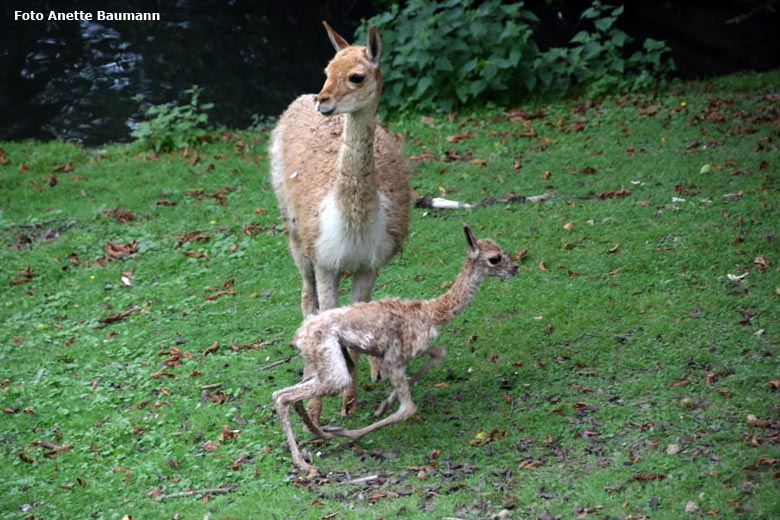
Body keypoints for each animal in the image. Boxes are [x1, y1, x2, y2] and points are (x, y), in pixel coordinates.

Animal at [274, 223, 516, 476]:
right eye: (495, 258)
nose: (515, 268)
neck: (430, 313)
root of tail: (299, 334)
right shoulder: (394, 360)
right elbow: (408, 409)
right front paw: (353, 432)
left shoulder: (407, 352)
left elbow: (439, 355)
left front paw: (383, 405)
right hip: (334, 371)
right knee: (283, 397)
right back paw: (303, 460)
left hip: (331, 363)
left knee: (285, 394)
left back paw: (318, 433)